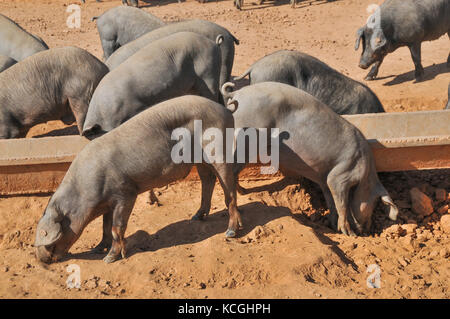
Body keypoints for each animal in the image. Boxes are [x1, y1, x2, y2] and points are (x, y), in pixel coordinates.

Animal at [34, 95, 243, 264]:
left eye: (50, 242)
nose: (40, 260)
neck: (84, 192)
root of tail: (225, 109)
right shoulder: (108, 202)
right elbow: (105, 226)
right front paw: (97, 249)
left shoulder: (125, 193)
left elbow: (116, 227)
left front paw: (108, 259)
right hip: (200, 158)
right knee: (208, 179)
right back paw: (196, 216)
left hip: (219, 148)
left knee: (228, 188)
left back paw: (231, 232)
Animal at [221, 82, 398, 236]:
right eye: (374, 204)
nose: (367, 231)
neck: (366, 173)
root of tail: (237, 93)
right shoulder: (341, 175)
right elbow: (341, 203)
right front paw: (349, 233)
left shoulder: (325, 179)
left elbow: (331, 200)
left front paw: (333, 226)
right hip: (248, 137)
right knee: (232, 169)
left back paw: (243, 192)